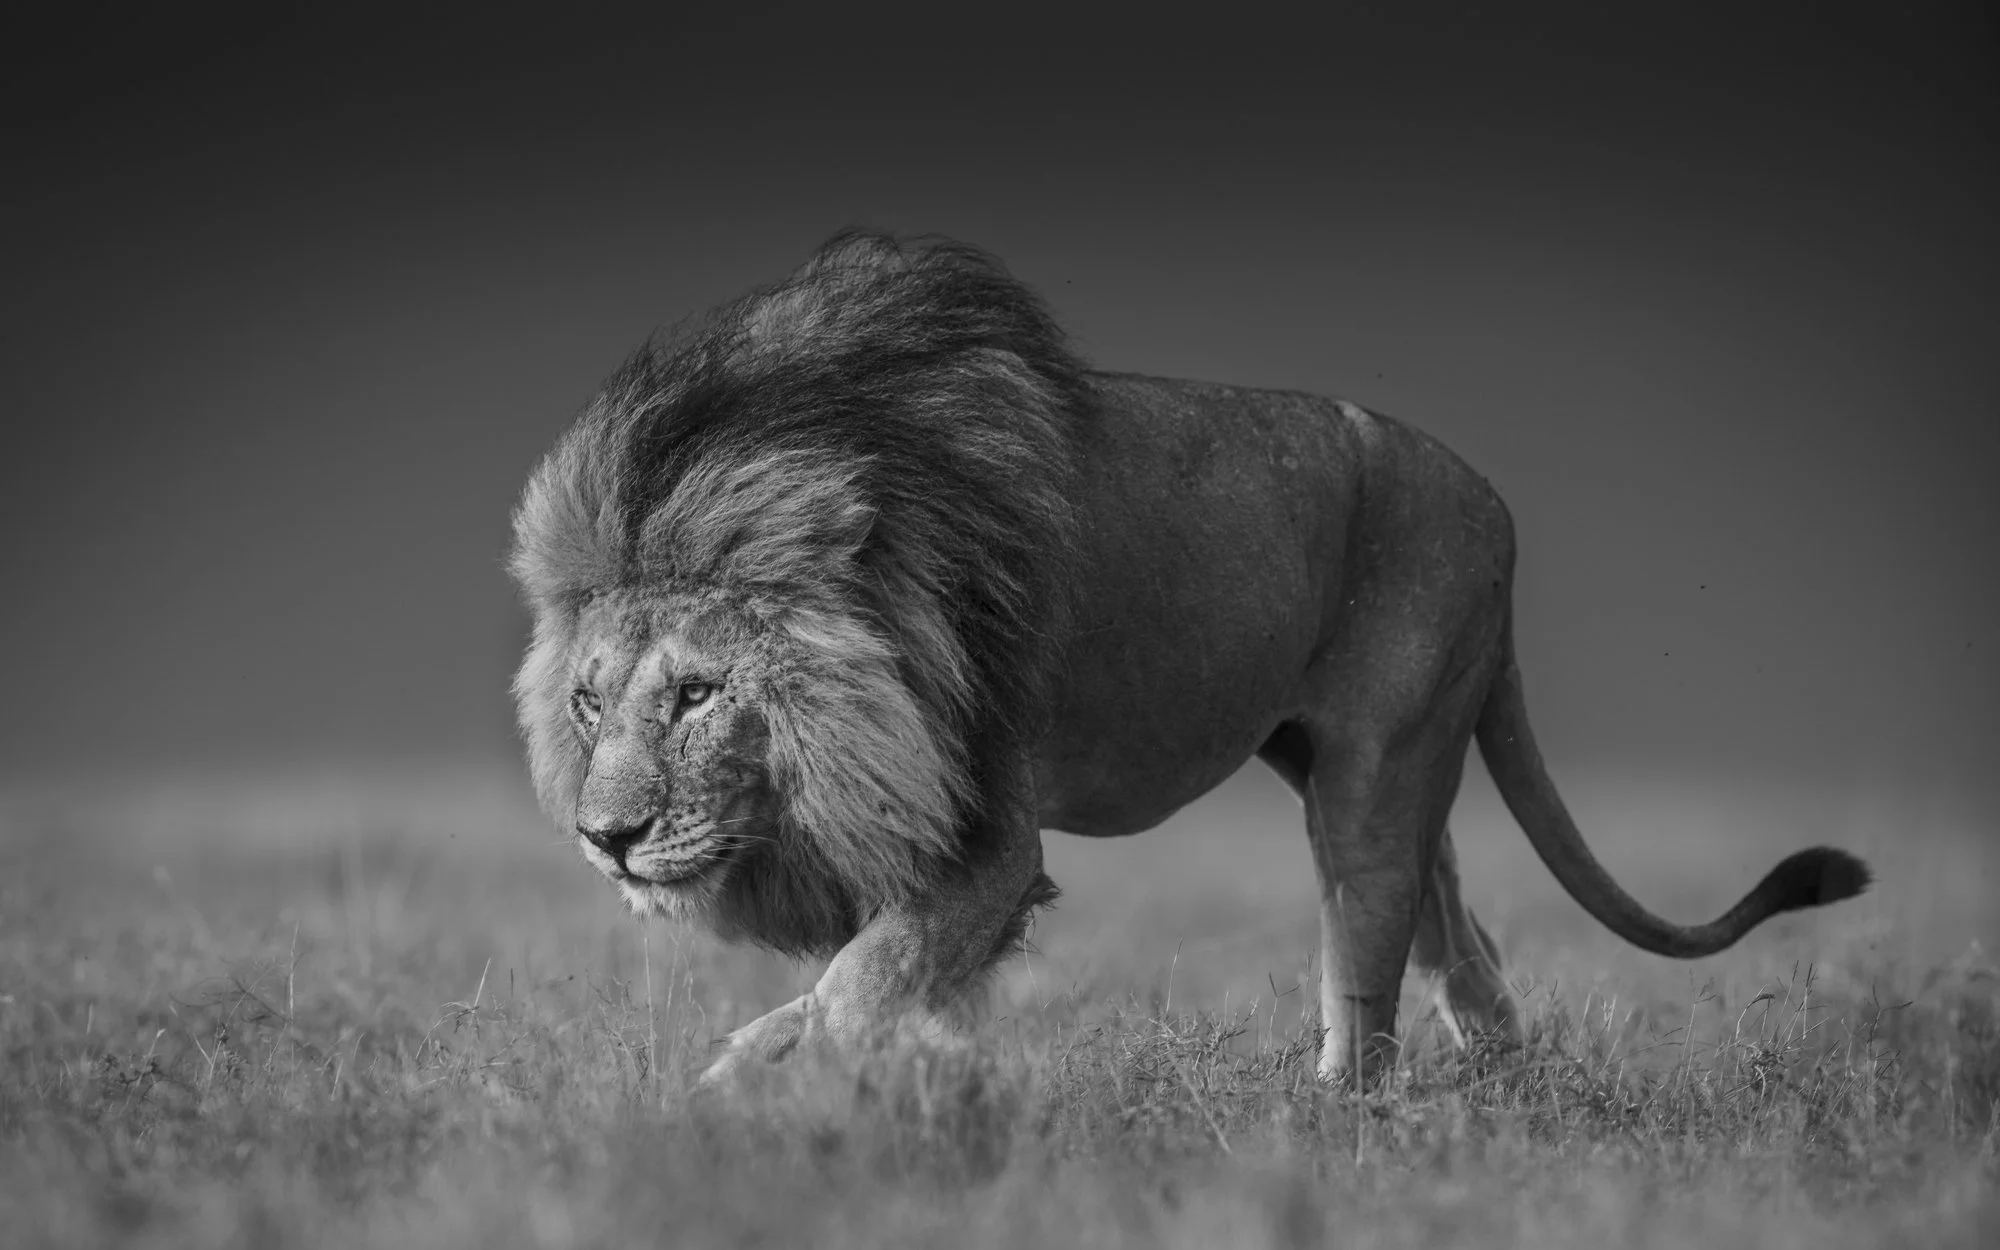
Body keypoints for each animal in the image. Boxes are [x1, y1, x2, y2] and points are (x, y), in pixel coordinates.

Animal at [508, 230, 1871, 1088]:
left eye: (696, 693)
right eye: (586, 702)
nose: (605, 838)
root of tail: (1491, 501)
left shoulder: (991, 838)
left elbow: (858, 981)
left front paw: (778, 1078)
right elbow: (858, 986)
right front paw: (756, 1076)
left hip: (1372, 772)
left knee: (1367, 983)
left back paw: (1330, 1119)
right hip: (1345, 761)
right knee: (1455, 921)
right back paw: (1500, 1081)